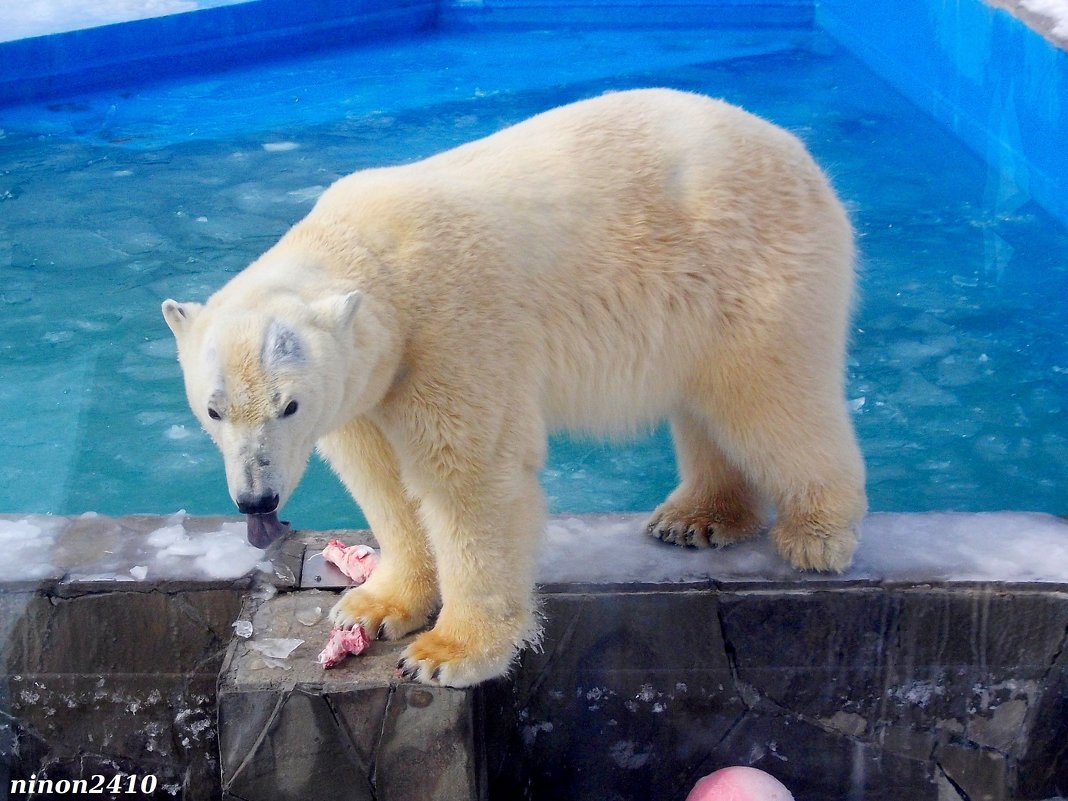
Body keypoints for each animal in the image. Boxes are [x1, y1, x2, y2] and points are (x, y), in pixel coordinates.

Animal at [164, 89, 867, 692]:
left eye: (288, 404)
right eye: (213, 409)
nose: (256, 500)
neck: (373, 253)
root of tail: (799, 153)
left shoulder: (452, 328)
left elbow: (470, 479)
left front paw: (447, 653)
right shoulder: (369, 383)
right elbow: (382, 481)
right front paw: (372, 607)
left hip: (751, 271)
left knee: (768, 398)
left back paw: (817, 534)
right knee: (709, 406)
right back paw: (699, 517)